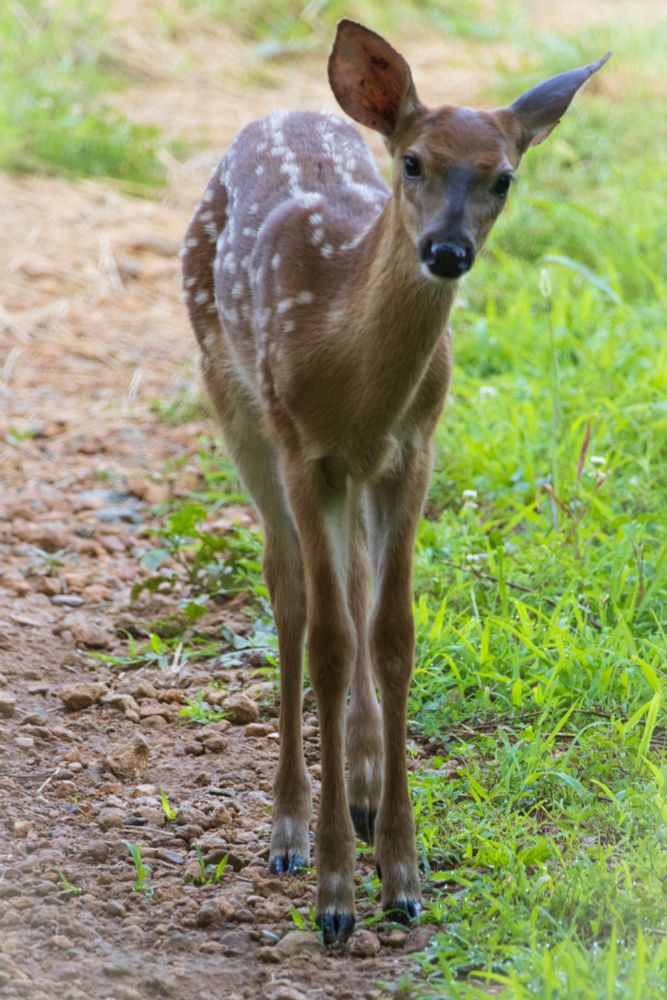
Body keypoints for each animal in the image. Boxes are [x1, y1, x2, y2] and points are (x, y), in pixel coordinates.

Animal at [181, 19, 610, 944]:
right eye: (412, 162)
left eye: (503, 176)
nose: (445, 251)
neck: (349, 371)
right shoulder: (303, 447)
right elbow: (331, 641)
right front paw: (336, 895)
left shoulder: (413, 450)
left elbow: (392, 634)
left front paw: (404, 877)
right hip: (233, 398)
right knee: (291, 592)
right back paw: (289, 830)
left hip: (352, 475)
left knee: (349, 583)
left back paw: (367, 788)